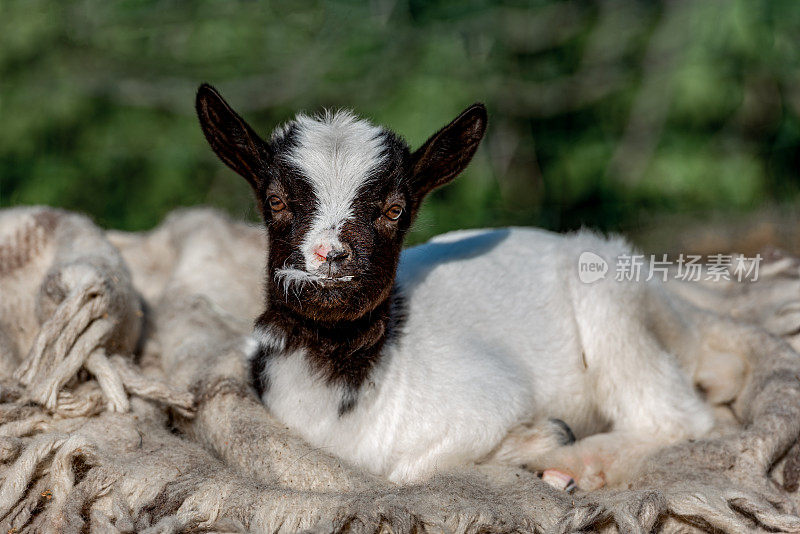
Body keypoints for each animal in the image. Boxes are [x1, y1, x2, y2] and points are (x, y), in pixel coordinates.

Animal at [192, 86, 752, 492]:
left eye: (395, 209)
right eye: (276, 201)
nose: (331, 258)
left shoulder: (486, 398)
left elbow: (409, 472)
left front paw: (542, 440)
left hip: (611, 302)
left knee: (680, 419)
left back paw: (572, 466)